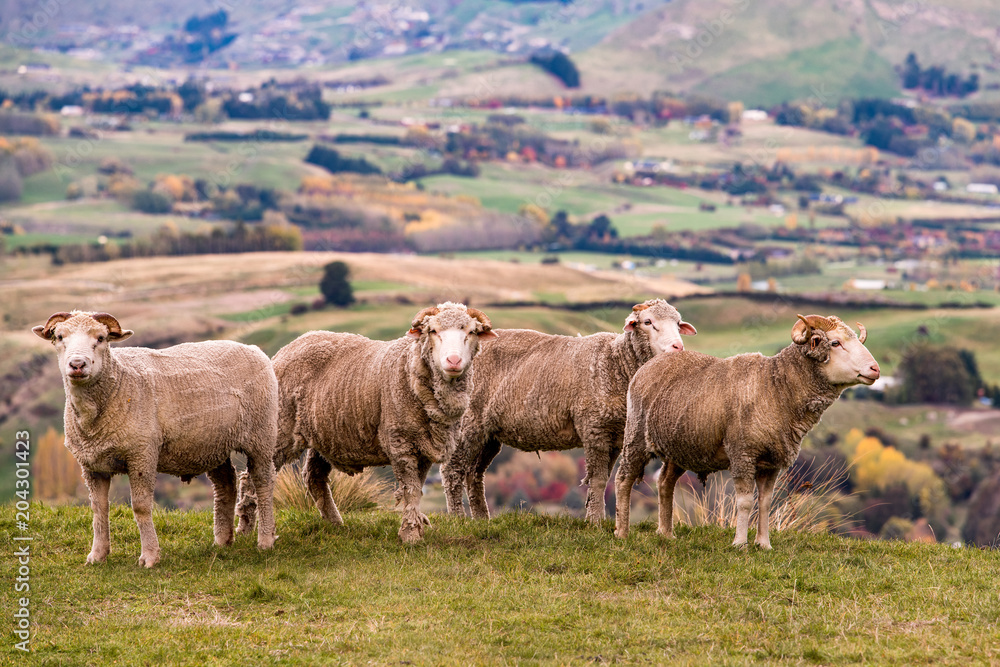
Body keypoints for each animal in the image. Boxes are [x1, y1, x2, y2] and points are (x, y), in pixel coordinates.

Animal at [32, 311, 278, 567]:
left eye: (101, 338)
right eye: (60, 337)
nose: (77, 364)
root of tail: (252, 348)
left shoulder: (142, 454)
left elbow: (140, 507)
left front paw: (149, 556)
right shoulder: (91, 465)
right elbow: (98, 508)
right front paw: (97, 555)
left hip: (261, 433)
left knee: (263, 481)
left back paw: (265, 540)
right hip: (213, 443)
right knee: (225, 484)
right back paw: (222, 540)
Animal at [235, 302, 497, 543]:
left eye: (471, 332)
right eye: (432, 331)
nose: (453, 360)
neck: (409, 369)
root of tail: (291, 346)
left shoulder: (422, 448)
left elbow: (418, 488)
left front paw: (414, 527)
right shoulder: (400, 442)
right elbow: (410, 490)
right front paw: (411, 534)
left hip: (326, 433)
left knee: (314, 477)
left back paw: (335, 523)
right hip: (279, 428)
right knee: (253, 477)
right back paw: (246, 528)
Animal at [442, 299, 696, 523]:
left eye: (678, 323)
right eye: (647, 322)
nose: (677, 348)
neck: (615, 363)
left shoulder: (614, 435)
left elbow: (604, 479)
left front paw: (592, 516)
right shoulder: (594, 428)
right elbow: (598, 479)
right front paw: (595, 520)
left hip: (488, 433)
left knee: (474, 474)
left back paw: (481, 519)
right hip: (468, 422)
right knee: (453, 470)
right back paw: (457, 518)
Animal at [614, 314, 880, 548]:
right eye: (835, 343)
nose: (875, 369)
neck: (777, 387)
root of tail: (651, 364)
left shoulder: (771, 462)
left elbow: (765, 503)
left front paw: (764, 544)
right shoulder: (742, 454)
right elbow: (744, 502)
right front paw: (740, 544)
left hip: (679, 446)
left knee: (664, 483)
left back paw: (666, 534)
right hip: (636, 435)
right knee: (623, 479)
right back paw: (622, 532)